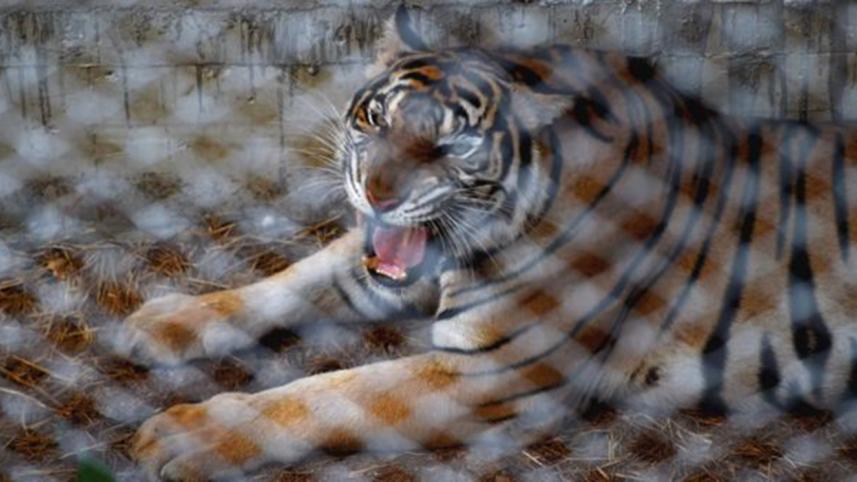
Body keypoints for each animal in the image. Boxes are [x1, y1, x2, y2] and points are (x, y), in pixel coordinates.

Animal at [124, 7, 857, 480]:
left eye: (452, 146)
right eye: (375, 118)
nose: (376, 194)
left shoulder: (495, 367)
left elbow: (331, 393)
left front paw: (186, 434)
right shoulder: (378, 269)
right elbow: (286, 282)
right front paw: (163, 321)